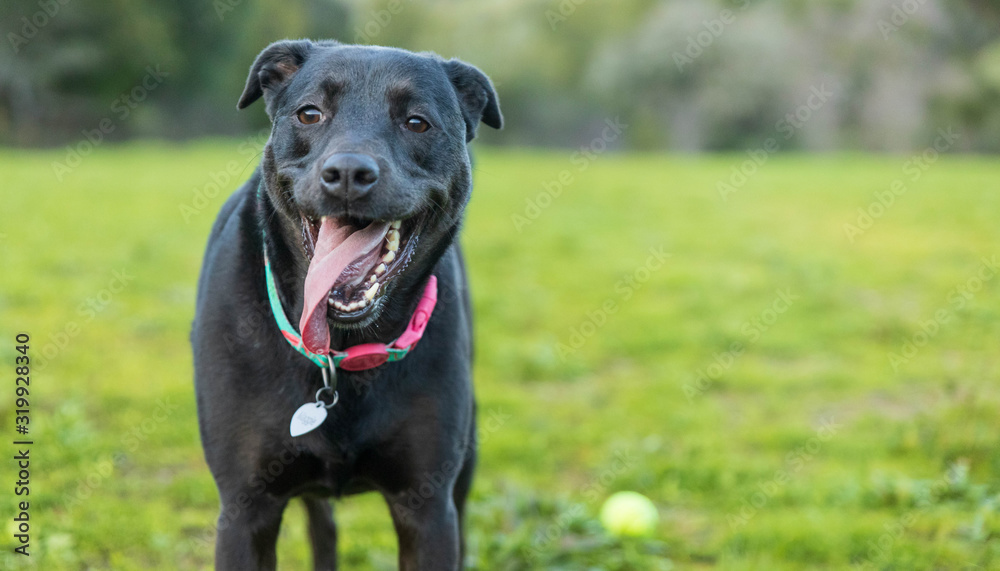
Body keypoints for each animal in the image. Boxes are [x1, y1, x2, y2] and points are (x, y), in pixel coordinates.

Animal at [190, 38, 500, 568]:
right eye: (309, 114)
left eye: (417, 122)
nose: (349, 172)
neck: (341, 351)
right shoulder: (245, 509)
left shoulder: (428, 508)